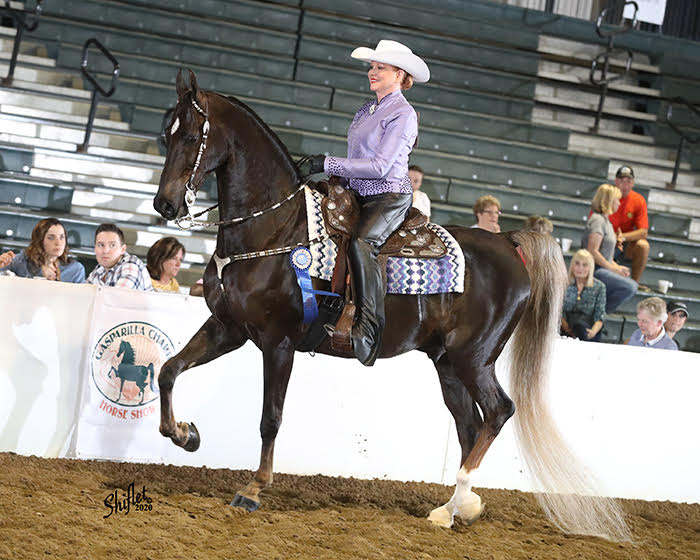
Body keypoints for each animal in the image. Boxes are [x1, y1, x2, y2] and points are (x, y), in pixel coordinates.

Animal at [153, 69, 629, 541]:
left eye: (192, 135)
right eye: (165, 133)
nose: (165, 204)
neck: (276, 228)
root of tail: (507, 241)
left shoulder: (279, 343)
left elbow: (270, 417)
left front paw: (253, 488)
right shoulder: (228, 327)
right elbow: (169, 370)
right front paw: (184, 434)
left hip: (474, 358)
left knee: (497, 412)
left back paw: (454, 506)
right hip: (447, 364)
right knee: (470, 426)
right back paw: (458, 508)